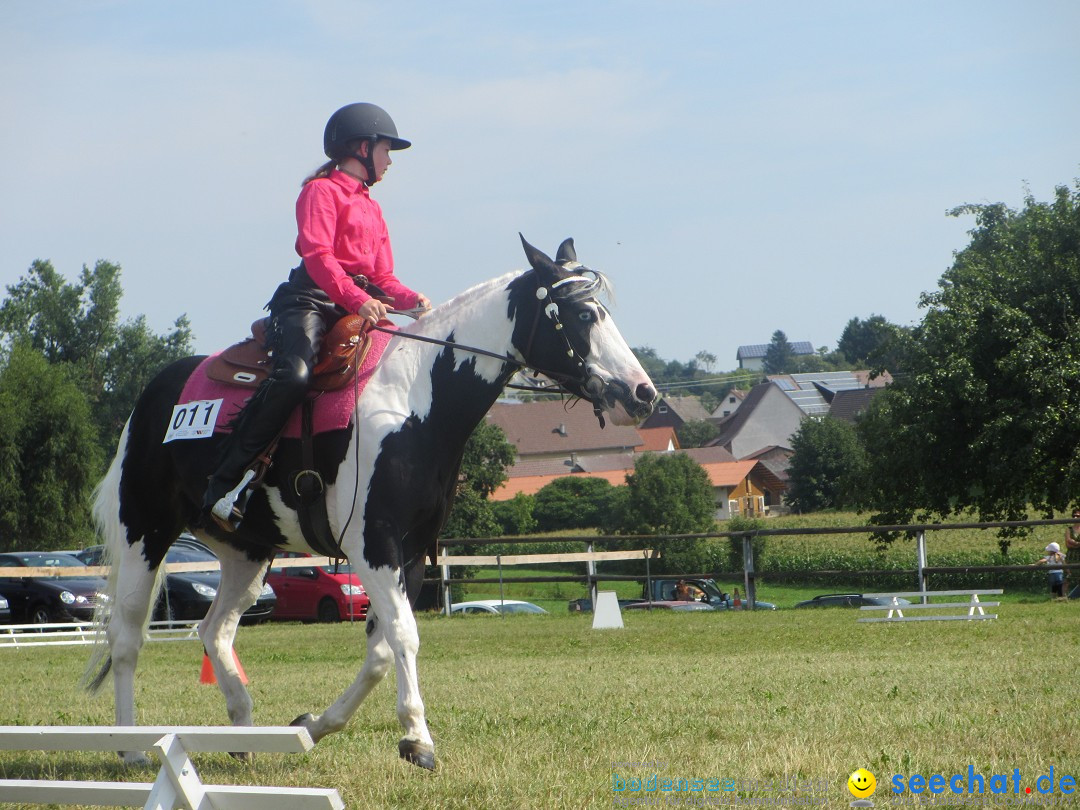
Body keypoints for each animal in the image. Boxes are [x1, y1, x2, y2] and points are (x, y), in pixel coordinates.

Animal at [82, 233, 656, 768]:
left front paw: (314, 725)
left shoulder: (413, 552)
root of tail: (150, 397)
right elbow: (402, 637)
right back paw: (131, 748)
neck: (413, 402)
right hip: (145, 532)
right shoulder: (372, 545)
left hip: (246, 552)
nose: (642, 394)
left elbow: (381, 650)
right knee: (127, 636)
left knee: (215, 629)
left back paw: (243, 733)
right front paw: (418, 740)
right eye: (582, 314)